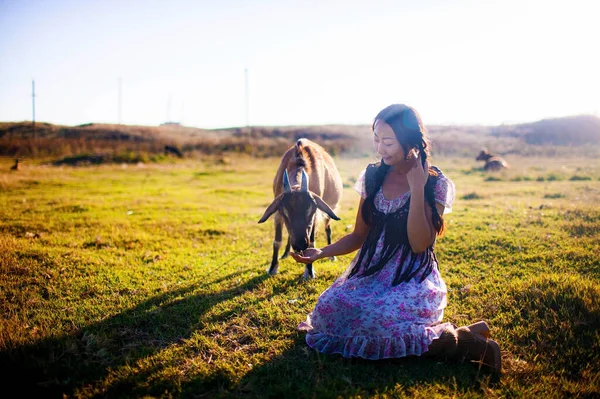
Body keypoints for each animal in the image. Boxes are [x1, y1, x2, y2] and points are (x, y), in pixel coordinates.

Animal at [258, 139, 342, 280]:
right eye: (285, 212)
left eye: (311, 210)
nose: (300, 245)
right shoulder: (278, 212)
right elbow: (277, 241)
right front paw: (273, 267)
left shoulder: (316, 215)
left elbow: (312, 242)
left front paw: (309, 270)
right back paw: (285, 253)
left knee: (328, 229)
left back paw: (331, 256)